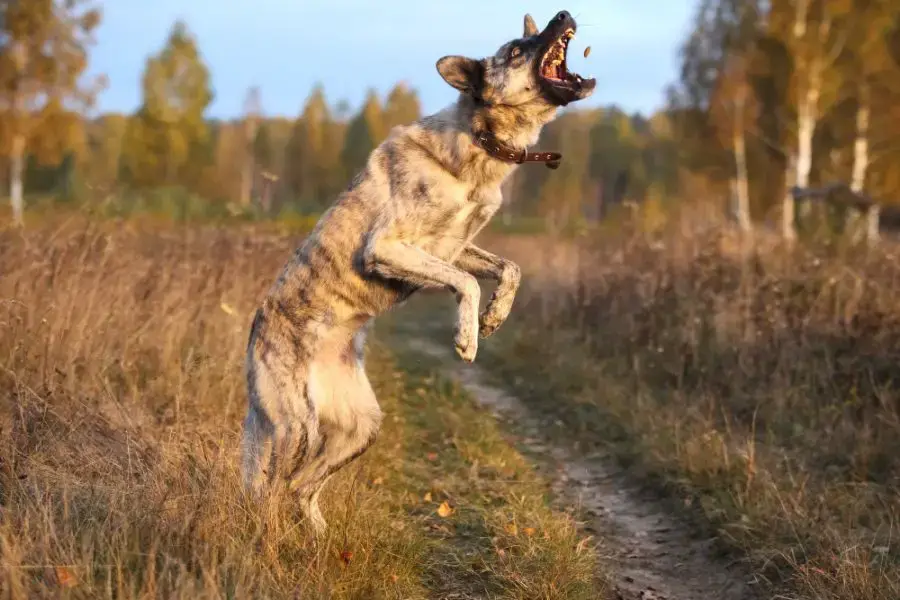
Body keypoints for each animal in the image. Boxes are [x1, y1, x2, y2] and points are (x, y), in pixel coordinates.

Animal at [241, 10, 596, 536]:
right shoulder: (389, 247)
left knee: (300, 487)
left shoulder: (456, 247)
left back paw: (320, 539)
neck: (480, 143)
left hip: (360, 427)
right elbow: (466, 283)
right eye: (516, 48)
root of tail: (255, 335)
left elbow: (508, 269)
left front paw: (494, 317)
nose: (564, 15)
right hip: (295, 427)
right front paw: (468, 337)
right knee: (268, 494)